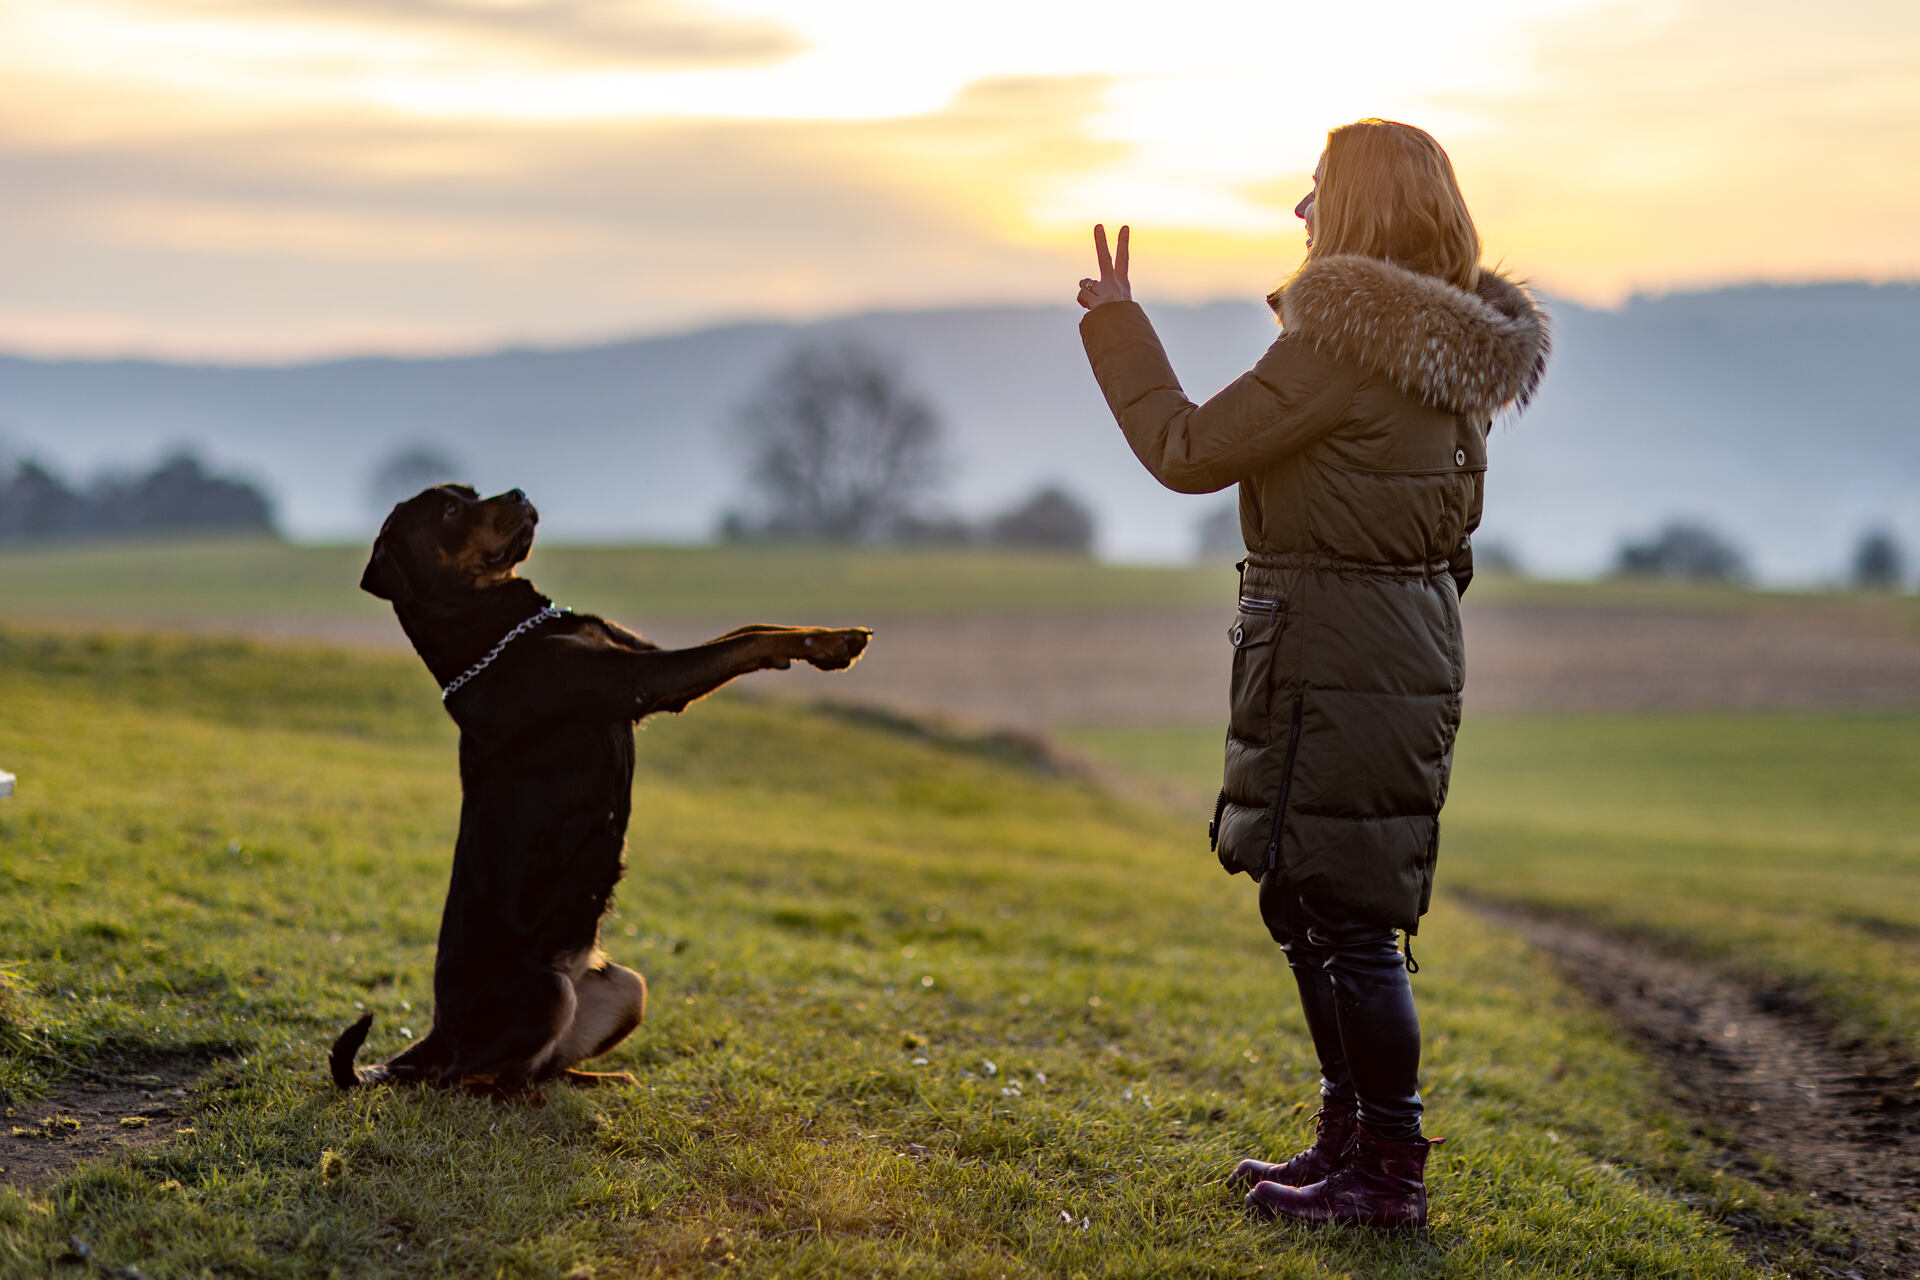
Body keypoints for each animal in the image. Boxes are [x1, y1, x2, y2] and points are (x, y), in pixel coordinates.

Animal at [332, 485, 871, 1097]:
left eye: (470, 493)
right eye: (449, 511)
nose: (518, 492)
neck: (496, 635)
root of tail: (431, 1038)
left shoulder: (643, 657)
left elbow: (746, 629)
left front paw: (825, 641)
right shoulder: (639, 681)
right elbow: (746, 641)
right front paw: (829, 642)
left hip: (625, 986)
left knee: (541, 1067)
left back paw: (601, 1078)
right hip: (544, 993)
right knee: (470, 1079)